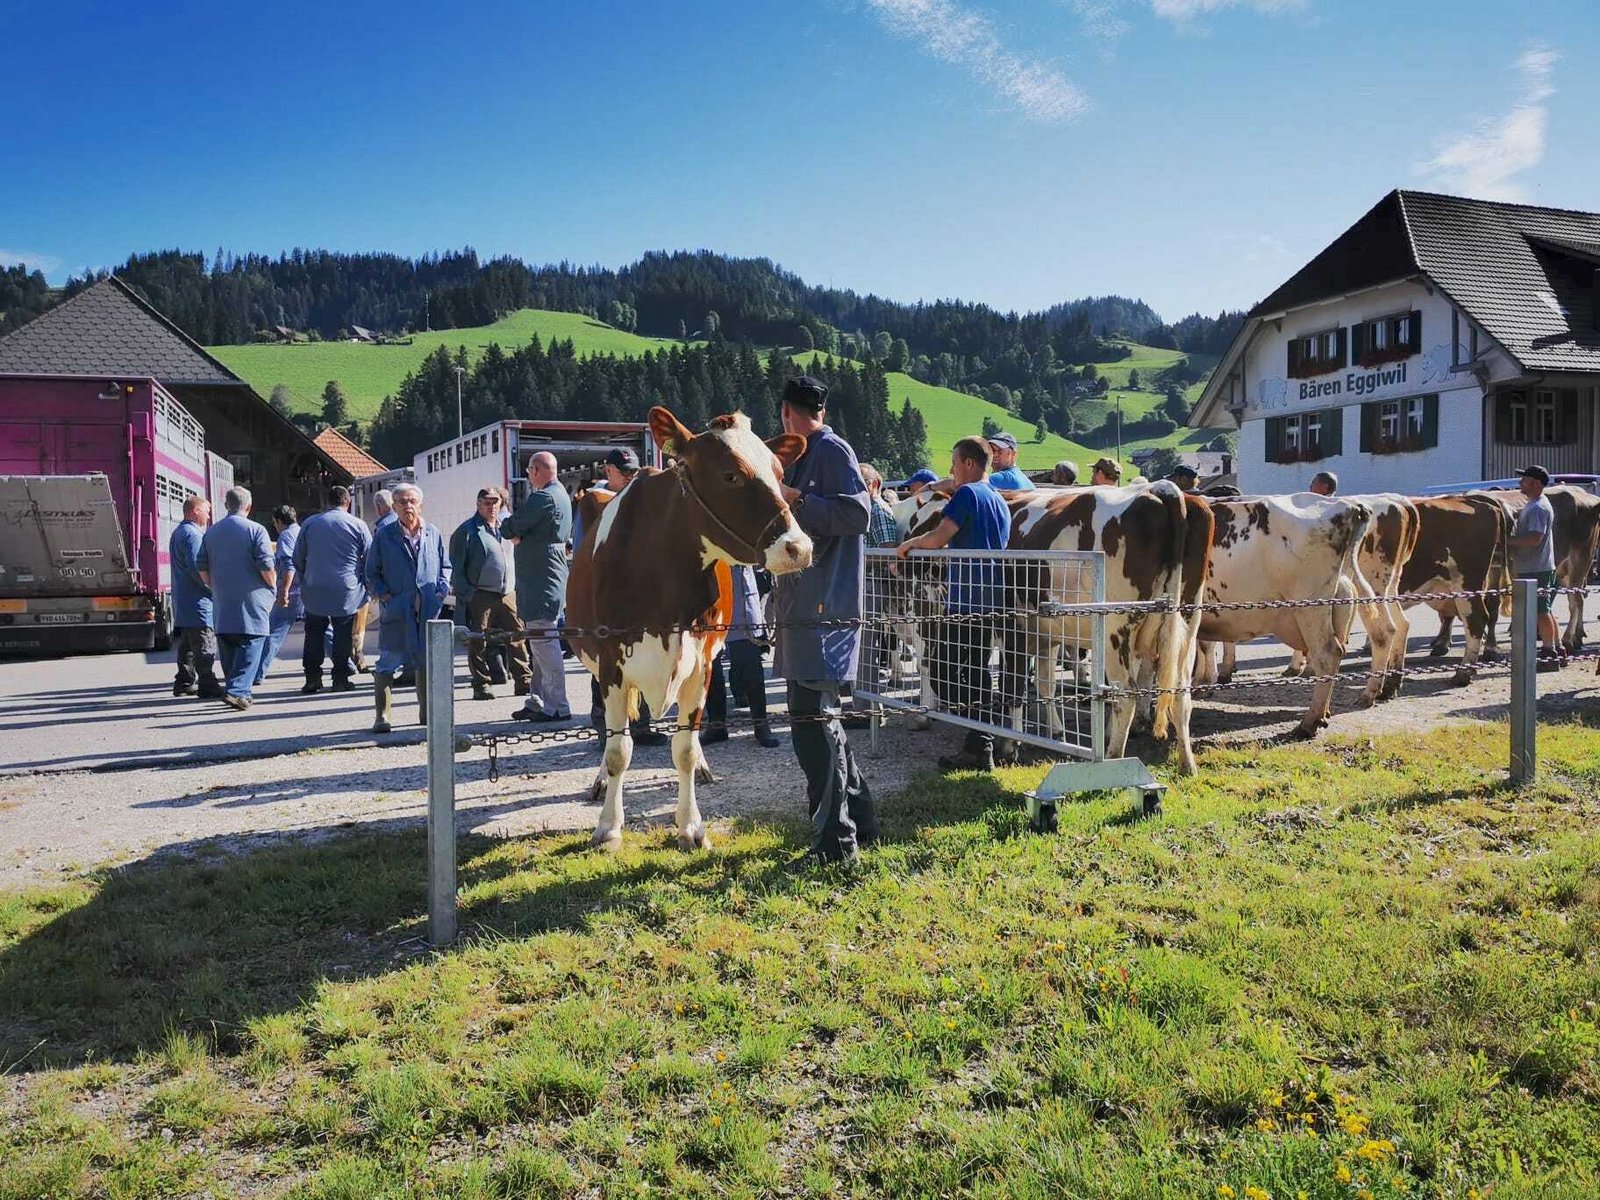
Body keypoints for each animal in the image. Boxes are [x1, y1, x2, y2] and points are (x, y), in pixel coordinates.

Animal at [566, 408, 812, 852]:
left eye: (779, 471)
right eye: (730, 475)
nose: (798, 547)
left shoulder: (701, 664)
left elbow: (684, 747)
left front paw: (691, 826)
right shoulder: (611, 665)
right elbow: (618, 750)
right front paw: (609, 827)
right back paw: (599, 781)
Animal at [1195, 495, 1376, 736]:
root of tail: (1349, 505)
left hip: (1309, 606)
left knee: (1327, 654)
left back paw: (1309, 723)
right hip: (1338, 602)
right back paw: (1324, 713)